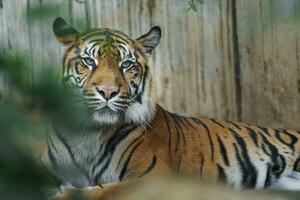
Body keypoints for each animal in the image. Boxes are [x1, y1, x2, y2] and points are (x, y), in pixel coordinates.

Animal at [45, 17, 300, 198]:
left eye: (126, 65)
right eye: (89, 61)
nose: (108, 92)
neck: (89, 131)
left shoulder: (155, 177)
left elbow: (104, 189)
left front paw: (64, 194)